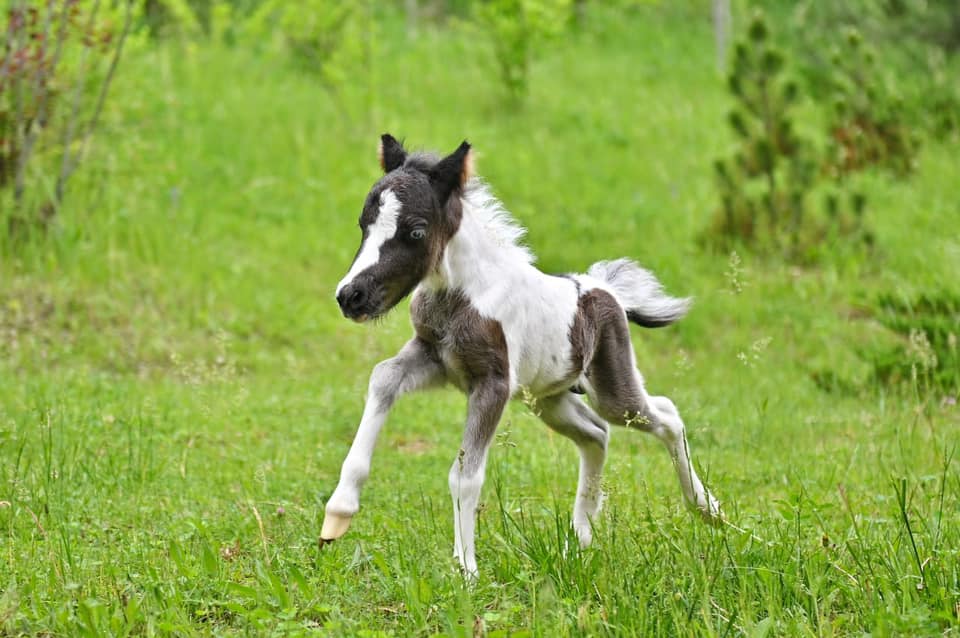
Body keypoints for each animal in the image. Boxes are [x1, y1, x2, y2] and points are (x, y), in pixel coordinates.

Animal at [322, 136, 720, 580]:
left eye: (416, 230)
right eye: (364, 223)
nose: (351, 296)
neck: (464, 296)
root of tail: (604, 289)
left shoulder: (491, 383)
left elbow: (465, 475)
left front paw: (467, 571)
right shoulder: (435, 359)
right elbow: (383, 377)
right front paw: (338, 513)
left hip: (612, 391)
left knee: (665, 415)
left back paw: (707, 509)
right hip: (549, 399)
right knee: (596, 433)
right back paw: (579, 541)